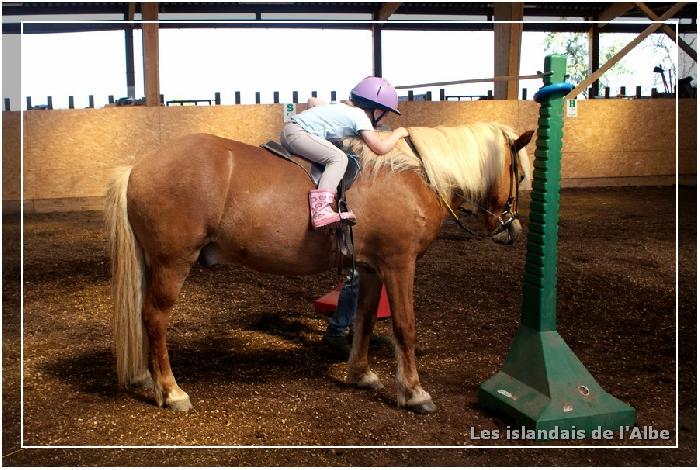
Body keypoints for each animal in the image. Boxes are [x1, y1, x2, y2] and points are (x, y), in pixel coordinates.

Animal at [104, 123, 532, 414]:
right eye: (523, 174)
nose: (512, 229)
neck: (411, 174)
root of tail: (138, 167)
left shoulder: (371, 268)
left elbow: (364, 320)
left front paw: (360, 373)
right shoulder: (399, 263)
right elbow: (404, 326)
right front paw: (414, 392)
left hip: (153, 265)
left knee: (141, 316)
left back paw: (145, 377)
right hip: (173, 263)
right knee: (155, 318)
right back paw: (170, 390)